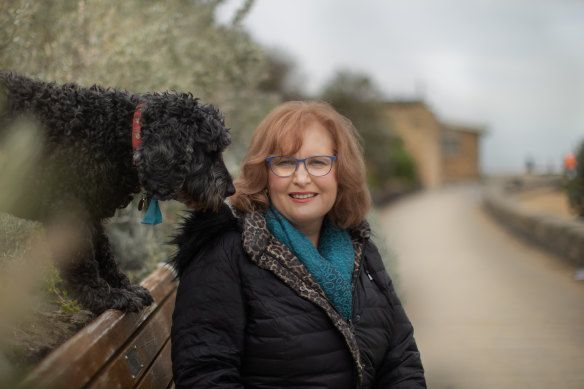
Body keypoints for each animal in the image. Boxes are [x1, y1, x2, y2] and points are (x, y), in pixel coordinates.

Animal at [1, 71, 237, 316]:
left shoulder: (91, 211)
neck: (114, 132)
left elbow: (105, 254)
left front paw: (124, 288)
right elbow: (83, 261)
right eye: (209, 151)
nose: (231, 189)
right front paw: (104, 298)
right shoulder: (70, 208)